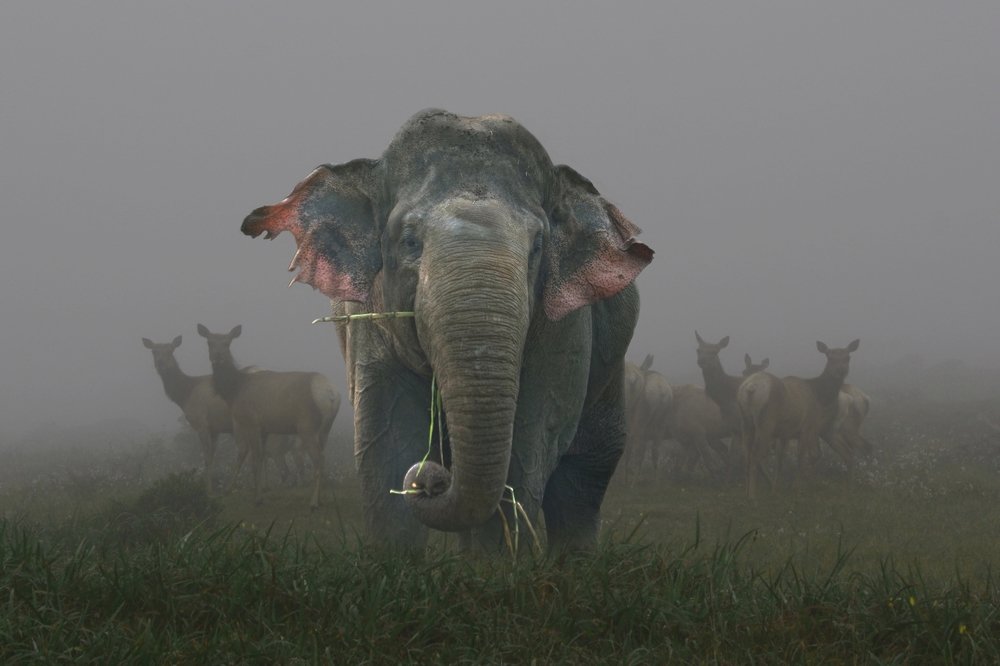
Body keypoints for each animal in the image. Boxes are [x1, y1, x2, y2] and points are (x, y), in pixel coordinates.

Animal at [241, 109, 653, 552]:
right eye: (409, 241)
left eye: (538, 246)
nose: (429, 481)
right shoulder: (370, 317)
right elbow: (386, 441)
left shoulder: (565, 325)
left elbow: (530, 441)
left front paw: (495, 566)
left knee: (584, 479)